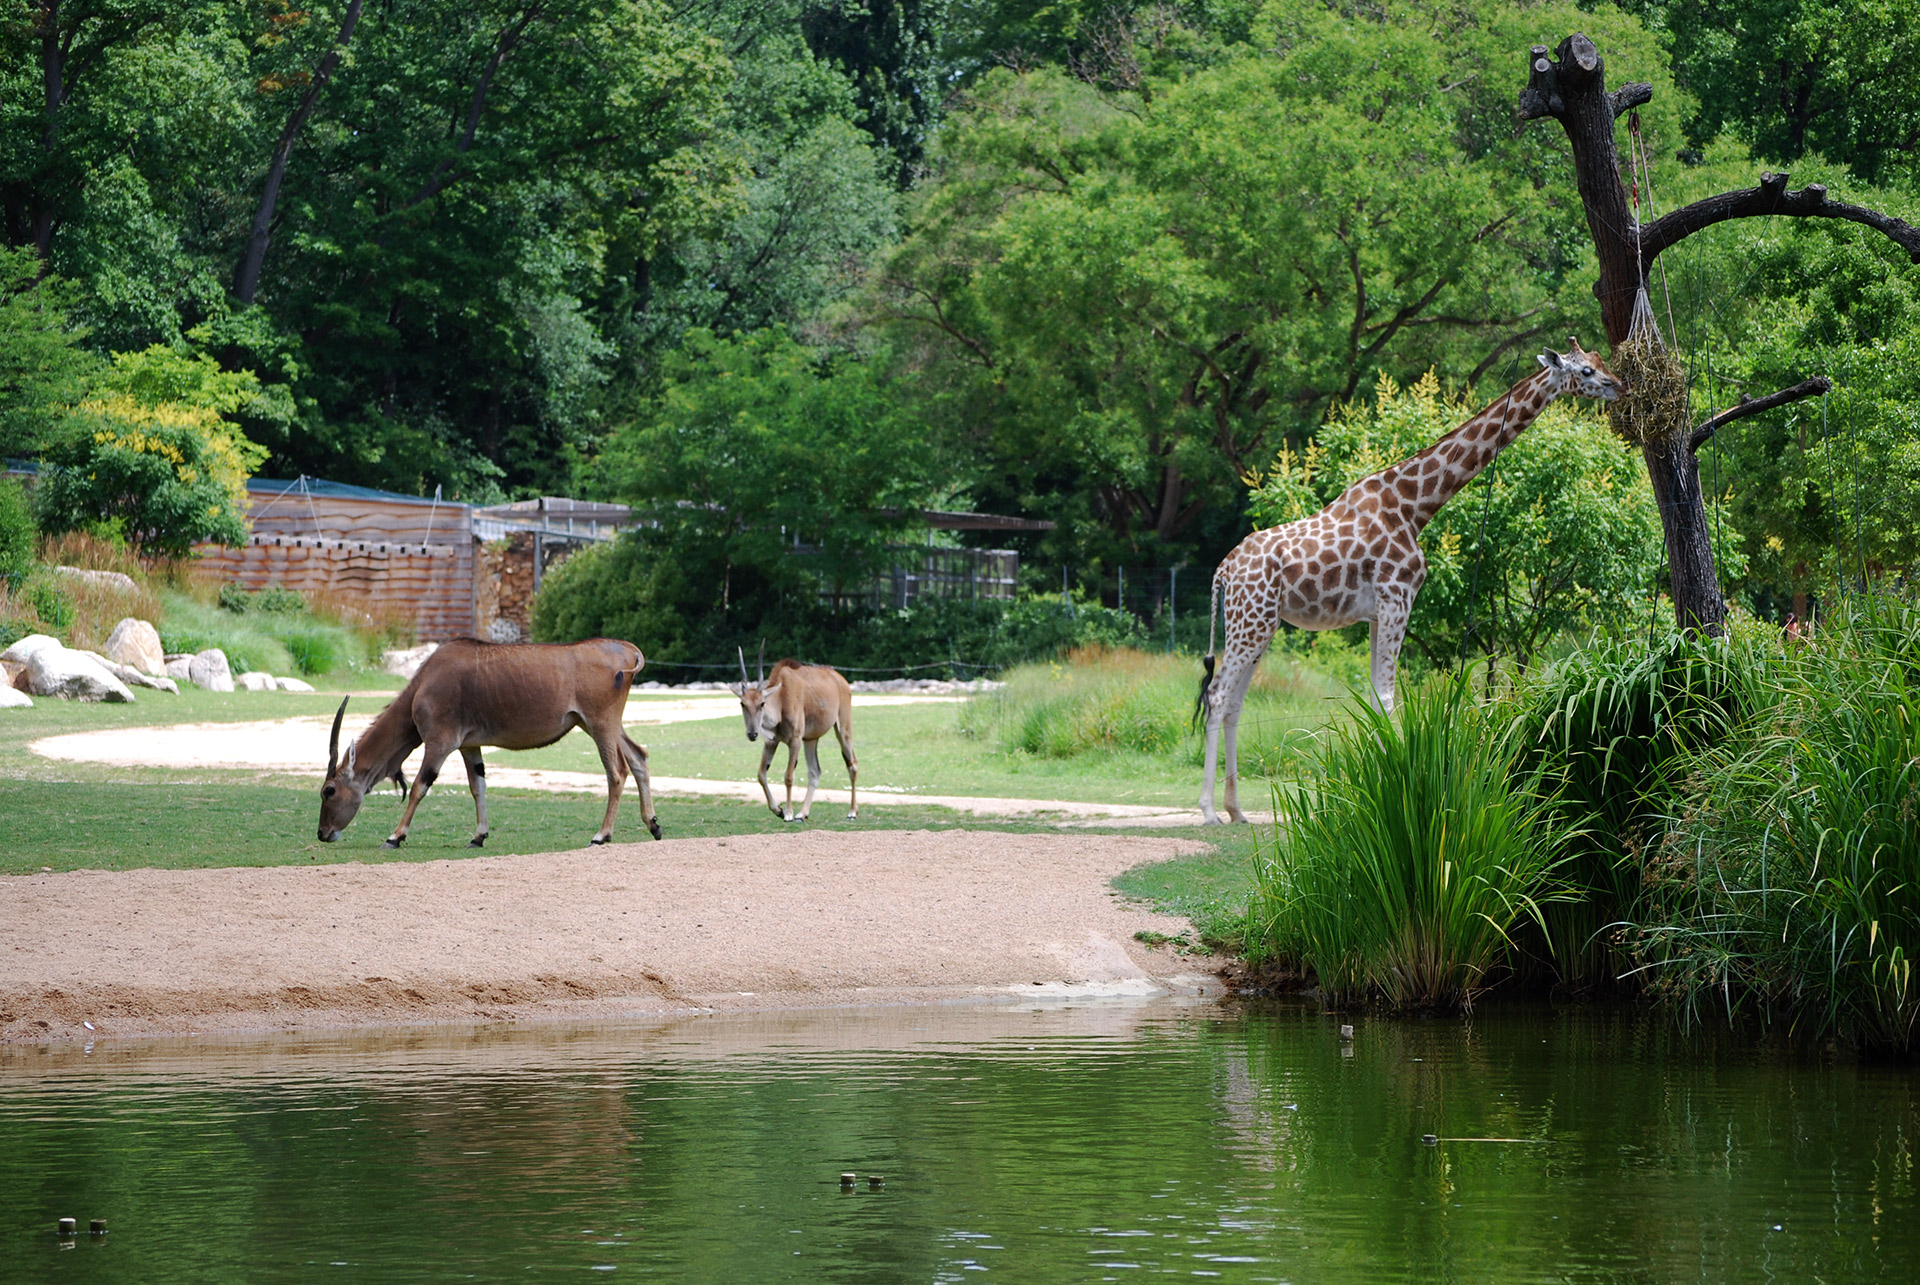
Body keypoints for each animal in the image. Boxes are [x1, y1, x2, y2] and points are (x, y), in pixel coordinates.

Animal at [318, 637, 664, 845]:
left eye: (329, 790)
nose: (323, 833)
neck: (423, 683)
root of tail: (628, 650)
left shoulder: (440, 743)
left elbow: (419, 786)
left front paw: (395, 836)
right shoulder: (469, 746)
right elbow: (478, 786)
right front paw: (479, 836)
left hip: (600, 724)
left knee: (616, 771)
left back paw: (601, 835)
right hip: (605, 726)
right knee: (639, 757)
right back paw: (653, 825)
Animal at [729, 641, 860, 822]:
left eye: (762, 703)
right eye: (743, 703)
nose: (752, 734)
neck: (781, 698)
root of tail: (841, 680)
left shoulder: (795, 741)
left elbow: (789, 777)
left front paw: (788, 814)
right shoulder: (771, 742)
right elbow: (761, 774)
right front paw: (779, 810)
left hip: (843, 730)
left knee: (852, 764)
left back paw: (852, 812)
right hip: (810, 740)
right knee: (815, 771)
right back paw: (802, 813)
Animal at [1198, 338, 1620, 822]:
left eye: (1600, 362)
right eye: (1586, 371)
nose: (1619, 386)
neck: (1416, 507)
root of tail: (1223, 570)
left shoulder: (1378, 612)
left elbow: (1375, 698)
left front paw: (1377, 793)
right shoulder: (1397, 598)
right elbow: (1386, 698)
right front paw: (1396, 795)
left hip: (1260, 624)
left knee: (1234, 701)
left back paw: (1235, 810)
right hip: (1250, 622)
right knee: (1217, 694)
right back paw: (1208, 810)